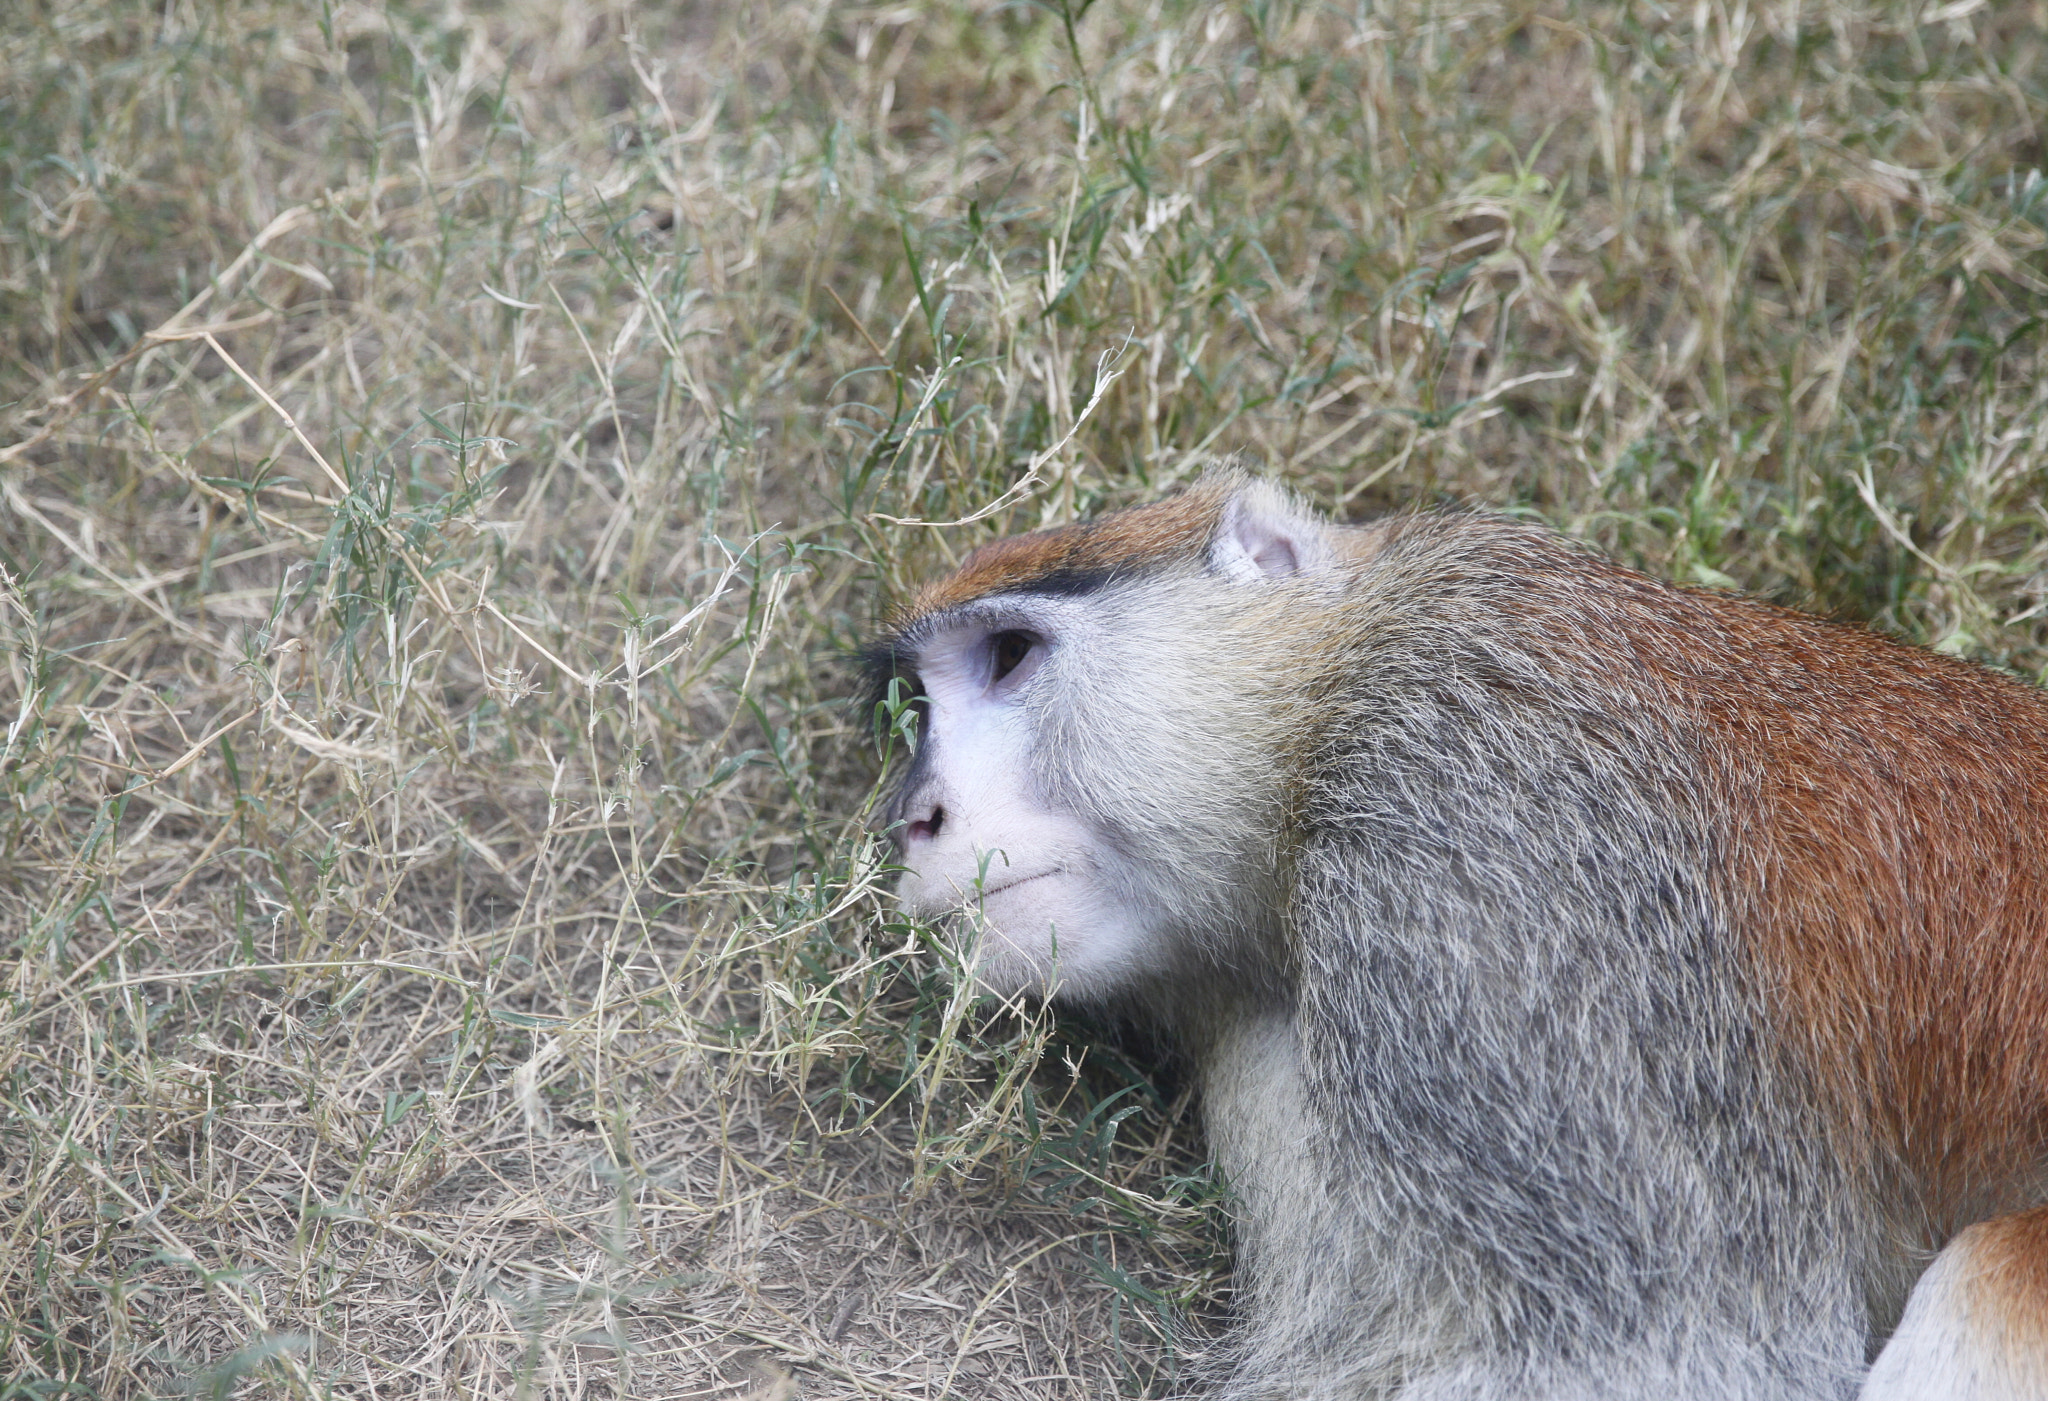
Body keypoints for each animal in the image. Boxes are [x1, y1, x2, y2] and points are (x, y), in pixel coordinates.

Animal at [863, 466, 2048, 1400]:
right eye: (919, 705)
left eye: (1011, 655)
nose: (913, 819)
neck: (1317, 706)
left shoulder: (1477, 839)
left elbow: (1687, 1353)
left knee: (1989, 1273)